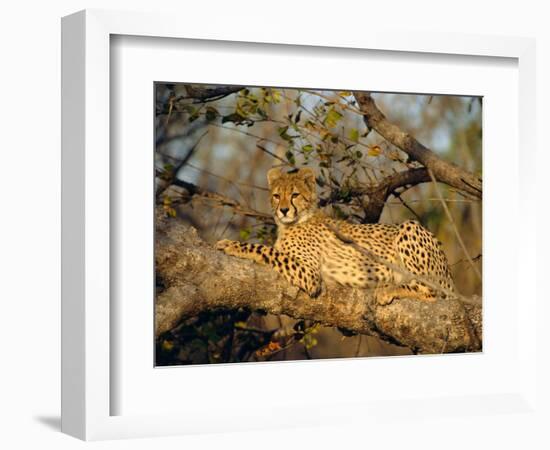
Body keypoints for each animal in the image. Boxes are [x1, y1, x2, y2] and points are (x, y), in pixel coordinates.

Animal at [216, 167, 458, 304]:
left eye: (294, 195)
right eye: (276, 196)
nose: (283, 210)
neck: (294, 222)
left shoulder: (310, 274)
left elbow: (264, 249)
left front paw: (231, 245)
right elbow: (270, 250)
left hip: (409, 227)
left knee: (431, 290)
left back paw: (387, 289)